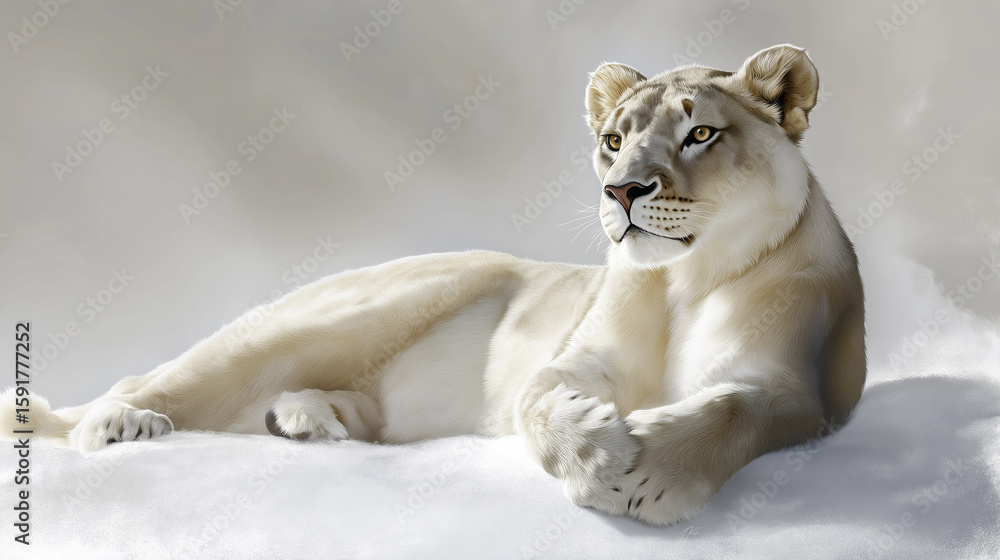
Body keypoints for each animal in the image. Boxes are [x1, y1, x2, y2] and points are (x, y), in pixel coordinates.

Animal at [1, 44, 864, 525]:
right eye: (614, 140)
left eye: (700, 133)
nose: (622, 190)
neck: (682, 279)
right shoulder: (573, 360)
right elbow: (539, 402)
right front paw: (599, 455)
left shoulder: (802, 392)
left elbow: (736, 410)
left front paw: (651, 473)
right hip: (354, 310)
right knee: (146, 384)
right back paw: (121, 426)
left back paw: (305, 420)